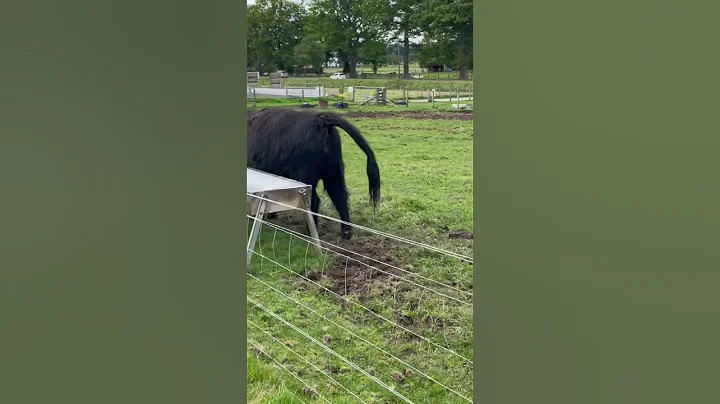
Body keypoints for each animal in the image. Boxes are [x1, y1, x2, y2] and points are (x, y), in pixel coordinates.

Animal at [247, 107, 380, 240]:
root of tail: (321, 119)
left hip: (307, 178)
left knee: (315, 201)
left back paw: (310, 232)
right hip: (334, 173)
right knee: (340, 197)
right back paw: (346, 232)